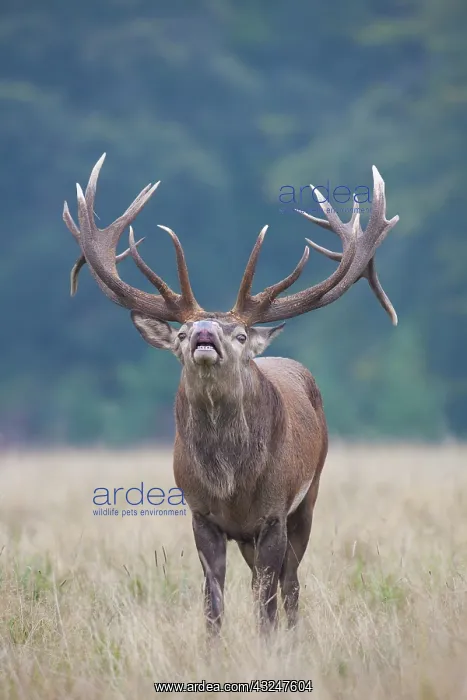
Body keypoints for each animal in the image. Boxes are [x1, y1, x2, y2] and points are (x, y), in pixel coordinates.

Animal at [64, 154, 399, 634]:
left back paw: (293, 633)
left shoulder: (274, 513)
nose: (205, 332)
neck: (230, 482)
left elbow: (268, 601)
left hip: (309, 495)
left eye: (240, 335)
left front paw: (270, 643)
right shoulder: (201, 514)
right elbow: (213, 600)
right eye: (182, 332)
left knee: (290, 583)